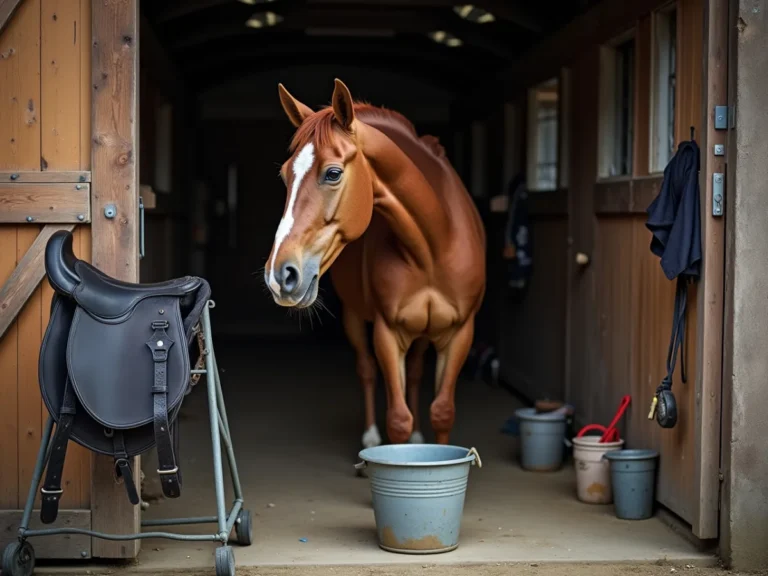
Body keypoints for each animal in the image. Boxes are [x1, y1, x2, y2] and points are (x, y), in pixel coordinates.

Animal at [264, 79, 486, 448]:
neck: (432, 246)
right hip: (355, 317)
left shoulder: (460, 333)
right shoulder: (388, 333)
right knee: (366, 370)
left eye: (333, 173)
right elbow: (397, 419)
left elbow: (442, 412)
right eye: (284, 176)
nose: (280, 276)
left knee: (415, 374)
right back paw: (369, 437)